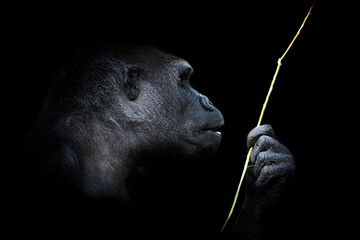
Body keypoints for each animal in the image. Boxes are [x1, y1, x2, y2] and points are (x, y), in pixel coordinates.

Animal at [23, 44, 296, 238]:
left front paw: (270, 181)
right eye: (183, 80)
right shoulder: (51, 160)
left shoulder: (140, 174)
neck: (104, 141)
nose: (207, 100)